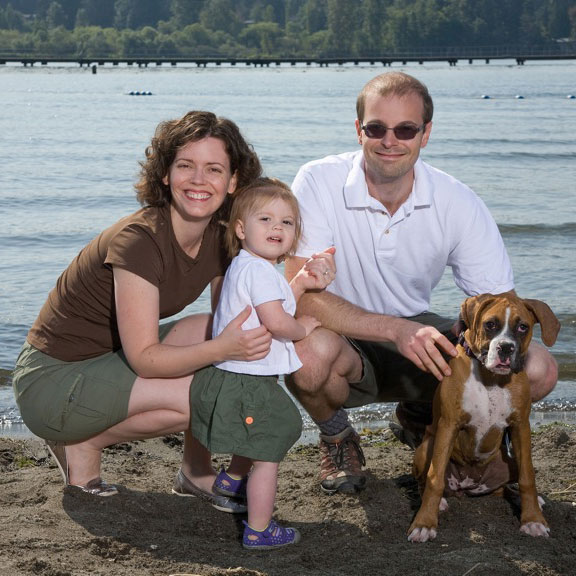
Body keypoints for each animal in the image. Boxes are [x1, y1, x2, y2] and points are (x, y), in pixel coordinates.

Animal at [408, 294, 560, 544]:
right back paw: (440, 503)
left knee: (505, 487)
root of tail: (469, 484)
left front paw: (533, 520)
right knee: (424, 480)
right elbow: (434, 478)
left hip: (508, 461)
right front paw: (424, 523)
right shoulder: (448, 426)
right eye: (490, 325)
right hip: (425, 448)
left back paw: (527, 499)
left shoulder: (521, 426)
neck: (491, 378)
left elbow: (528, 477)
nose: (506, 347)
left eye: (523, 327)